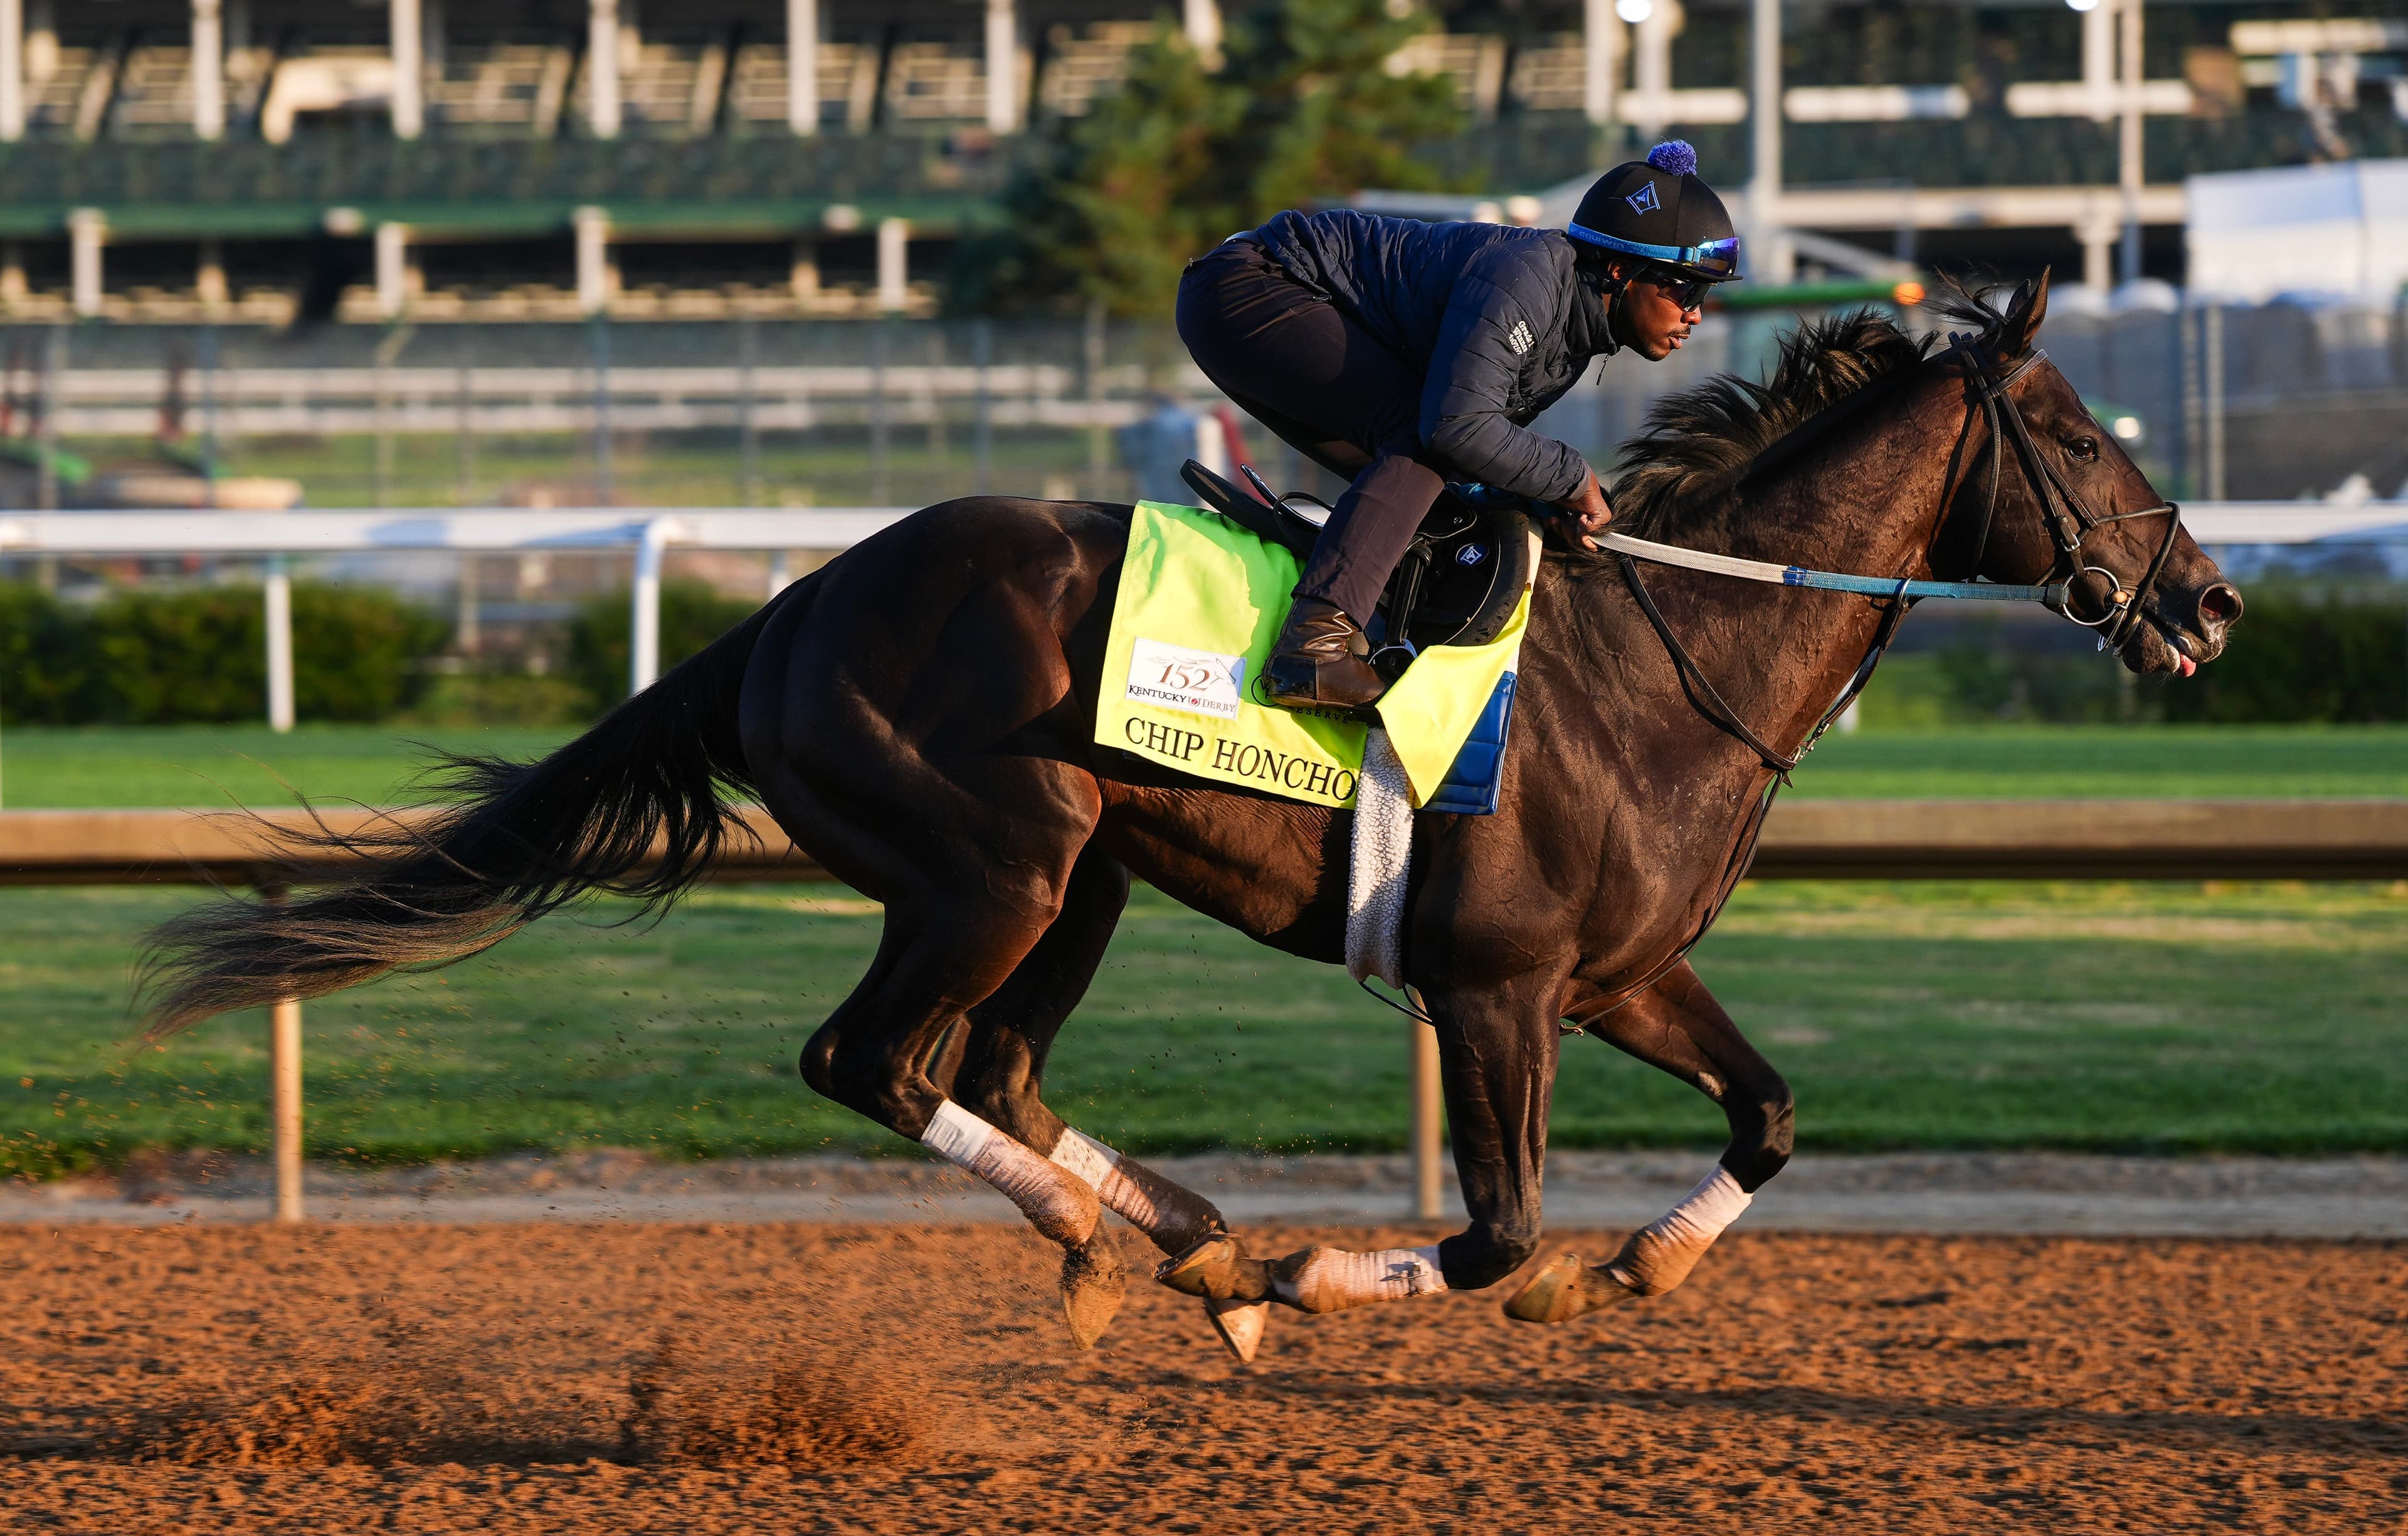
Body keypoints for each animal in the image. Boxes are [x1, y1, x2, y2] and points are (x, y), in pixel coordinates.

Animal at [141, 274, 2240, 1359]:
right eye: (2081, 433)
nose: (2211, 606)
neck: (1666, 653)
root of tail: (787, 608)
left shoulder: (1618, 976)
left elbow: (1773, 1115)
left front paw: (1633, 1267)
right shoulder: (1492, 991)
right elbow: (1493, 1234)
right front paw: (1326, 1270)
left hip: (1080, 880)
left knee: (991, 1070)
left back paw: (1176, 1247)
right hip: (990, 863)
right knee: (875, 1062)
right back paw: (1165, 1248)